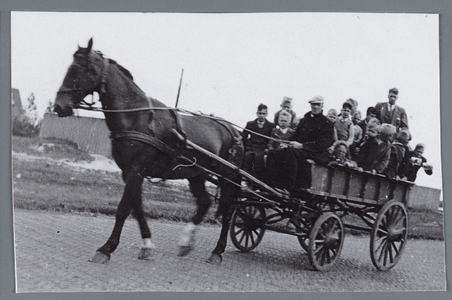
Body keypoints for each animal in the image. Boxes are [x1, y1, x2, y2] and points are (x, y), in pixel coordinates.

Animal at [53, 38, 244, 264]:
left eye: (81, 69)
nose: (58, 106)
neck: (137, 118)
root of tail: (235, 131)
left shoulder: (137, 170)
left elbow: (124, 208)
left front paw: (106, 248)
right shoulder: (129, 172)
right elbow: (137, 208)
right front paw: (146, 244)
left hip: (227, 176)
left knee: (228, 211)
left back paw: (217, 250)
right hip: (196, 173)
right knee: (204, 202)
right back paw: (186, 242)